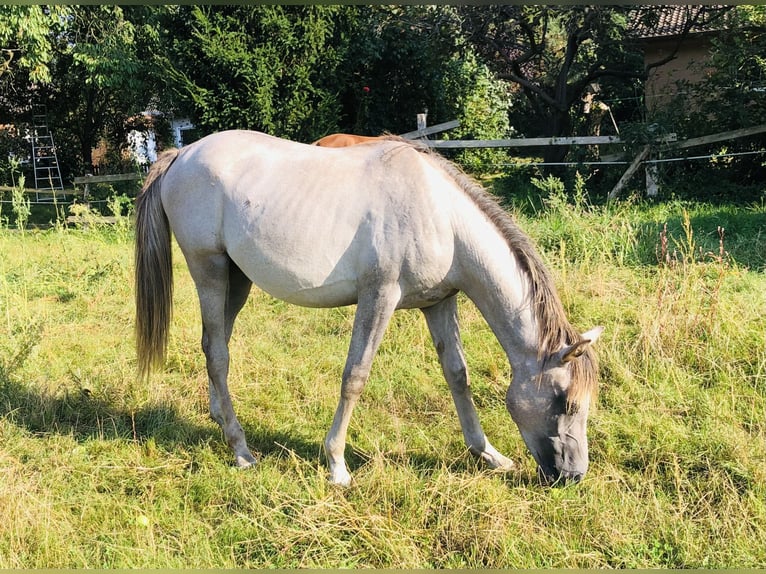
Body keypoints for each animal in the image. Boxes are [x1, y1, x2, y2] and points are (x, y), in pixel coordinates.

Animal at [138, 130, 608, 486]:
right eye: (566, 403)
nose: (573, 476)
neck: (442, 214)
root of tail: (181, 154)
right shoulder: (379, 296)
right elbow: (355, 376)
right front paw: (336, 465)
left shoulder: (439, 302)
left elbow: (458, 375)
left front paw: (487, 454)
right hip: (210, 270)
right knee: (218, 353)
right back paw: (240, 449)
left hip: (237, 281)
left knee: (215, 345)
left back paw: (220, 421)